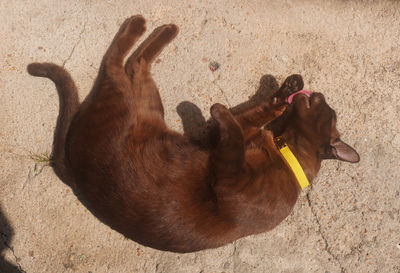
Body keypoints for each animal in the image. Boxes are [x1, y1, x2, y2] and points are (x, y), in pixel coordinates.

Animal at [27, 15, 360, 252]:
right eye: (327, 106)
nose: (316, 93)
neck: (281, 149)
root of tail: (73, 172)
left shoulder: (226, 173)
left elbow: (233, 126)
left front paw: (219, 107)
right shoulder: (216, 144)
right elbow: (255, 115)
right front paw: (288, 86)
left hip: (128, 103)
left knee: (120, 65)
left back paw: (143, 24)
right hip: (143, 103)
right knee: (131, 63)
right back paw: (160, 27)